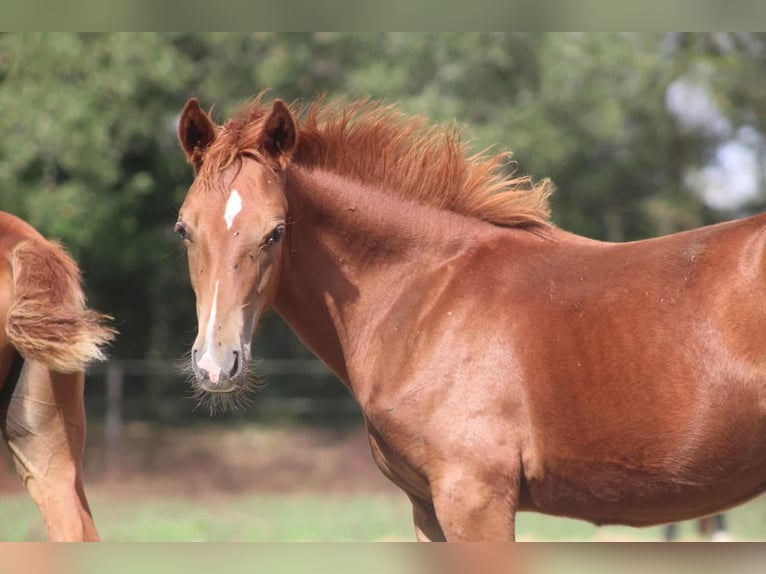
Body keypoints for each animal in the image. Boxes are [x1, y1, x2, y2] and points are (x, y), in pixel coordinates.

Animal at [175, 92, 766, 541]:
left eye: (276, 231)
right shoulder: (427, 506)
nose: (216, 365)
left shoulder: (474, 497)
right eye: (183, 229)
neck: (428, 295)